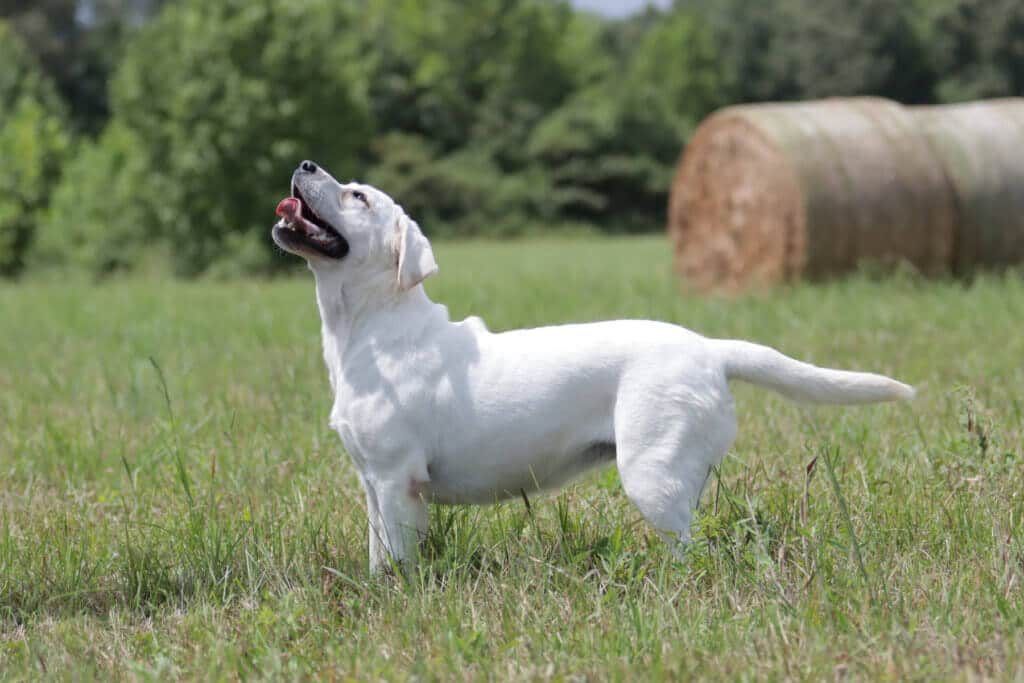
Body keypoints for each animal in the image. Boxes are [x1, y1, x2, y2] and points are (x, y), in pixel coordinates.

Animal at [272, 162, 913, 573]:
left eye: (358, 197)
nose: (304, 162)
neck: (368, 326)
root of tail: (710, 348)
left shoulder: (397, 480)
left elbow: (399, 562)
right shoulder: (372, 482)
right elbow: (377, 553)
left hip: (652, 473)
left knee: (693, 552)